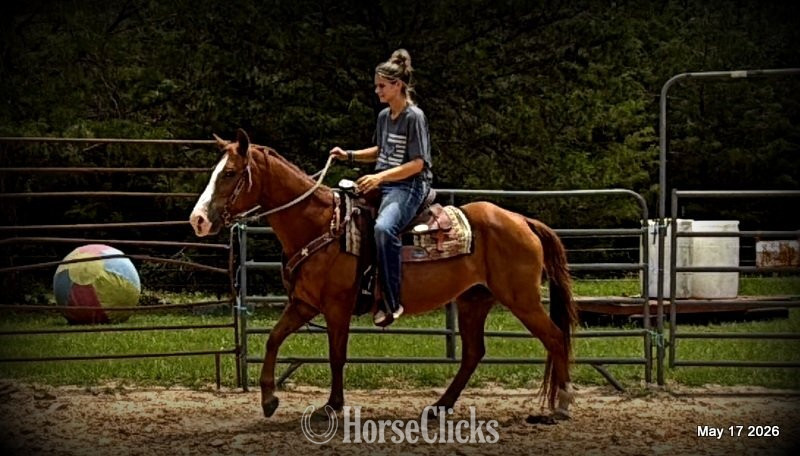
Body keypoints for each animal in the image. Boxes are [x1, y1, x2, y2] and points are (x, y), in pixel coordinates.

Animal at [189, 129, 578, 423]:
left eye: (229, 173)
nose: (198, 220)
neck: (322, 224)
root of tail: (522, 220)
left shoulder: (337, 307)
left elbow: (336, 354)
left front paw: (332, 406)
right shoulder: (304, 304)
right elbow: (273, 339)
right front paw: (269, 400)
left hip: (522, 299)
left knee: (555, 338)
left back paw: (560, 405)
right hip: (474, 300)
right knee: (473, 353)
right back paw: (439, 407)